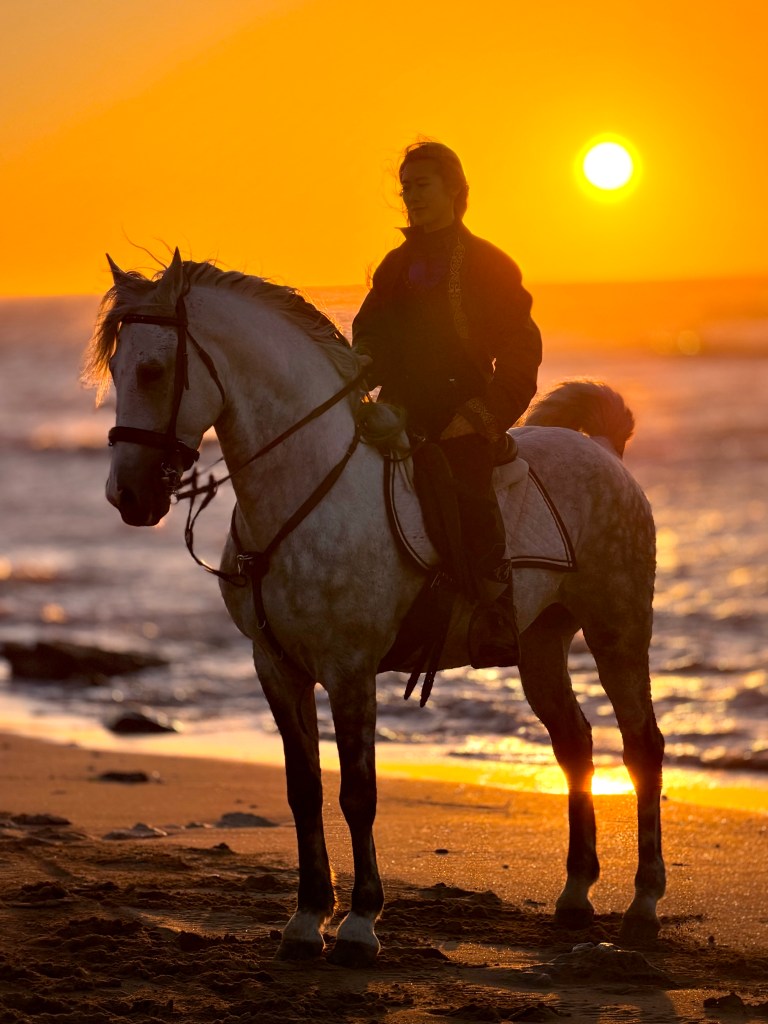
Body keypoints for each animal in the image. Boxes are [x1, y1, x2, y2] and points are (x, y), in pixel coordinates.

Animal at [83, 249, 665, 966]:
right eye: (116, 369)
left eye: (153, 369)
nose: (128, 496)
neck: (306, 489)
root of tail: (606, 453)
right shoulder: (276, 665)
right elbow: (303, 790)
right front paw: (306, 918)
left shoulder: (350, 668)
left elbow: (357, 791)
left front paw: (360, 924)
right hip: (541, 644)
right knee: (575, 743)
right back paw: (577, 894)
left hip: (618, 631)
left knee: (642, 747)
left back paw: (643, 905)